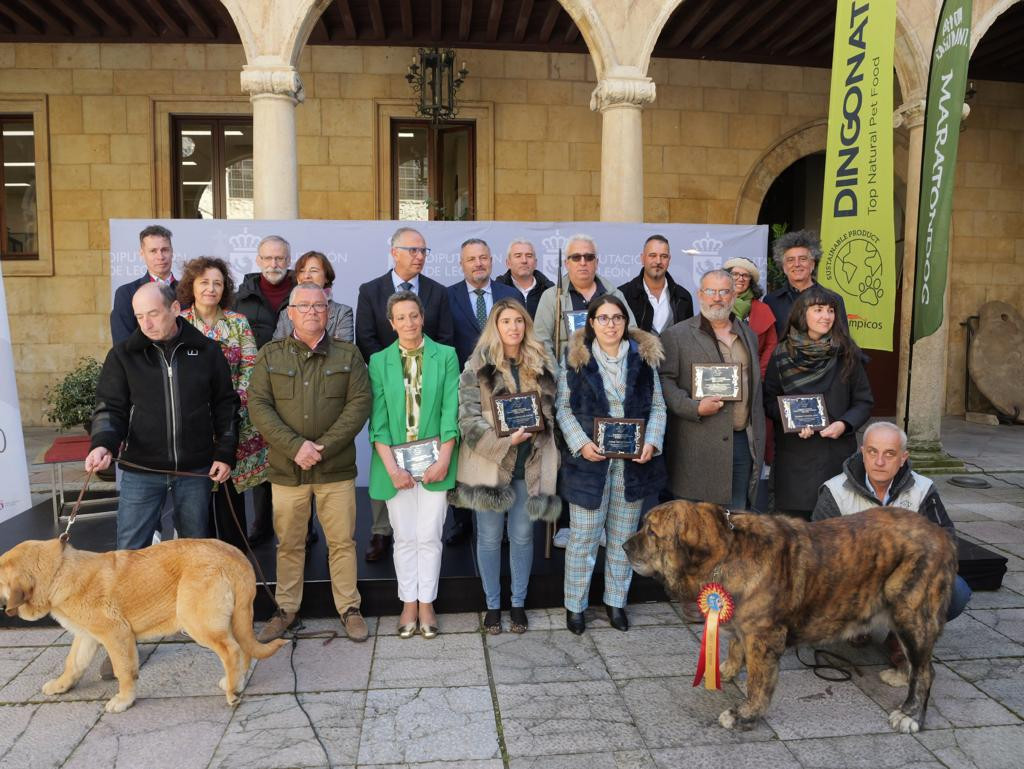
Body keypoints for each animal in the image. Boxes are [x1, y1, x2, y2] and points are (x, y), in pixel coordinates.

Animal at [0, 536, 288, 712]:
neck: (58, 571)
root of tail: (235, 555)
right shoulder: (87, 636)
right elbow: (73, 664)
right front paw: (61, 686)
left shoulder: (115, 634)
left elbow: (123, 670)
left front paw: (124, 700)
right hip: (231, 618)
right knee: (244, 648)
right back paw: (237, 681)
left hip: (198, 621)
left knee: (232, 650)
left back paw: (232, 691)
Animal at [622, 501, 958, 737]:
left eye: (651, 532)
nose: (625, 546)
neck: (726, 551)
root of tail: (942, 534)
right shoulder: (742, 626)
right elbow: (734, 645)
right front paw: (726, 670)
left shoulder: (764, 638)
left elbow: (758, 682)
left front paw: (745, 715)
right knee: (918, 664)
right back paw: (901, 674)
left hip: (912, 613)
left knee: (926, 672)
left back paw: (910, 714)